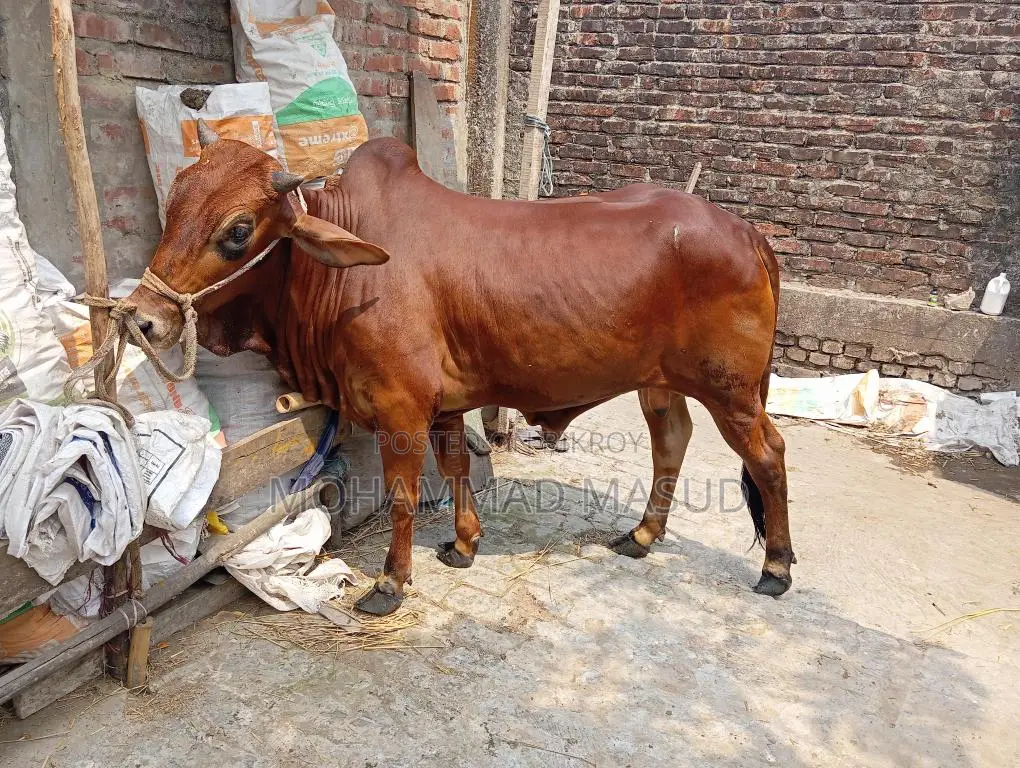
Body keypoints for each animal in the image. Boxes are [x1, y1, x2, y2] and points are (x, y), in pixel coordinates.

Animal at [127, 121, 793, 616]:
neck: (340, 277)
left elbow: (403, 495)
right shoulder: (444, 407)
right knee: (671, 442)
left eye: (238, 231)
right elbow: (454, 471)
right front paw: (464, 543)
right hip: (660, 384)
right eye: (173, 205)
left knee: (768, 456)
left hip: (731, 391)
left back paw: (776, 567)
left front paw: (391, 582)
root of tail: (745, 230)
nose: (141, 319)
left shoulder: (400, 408)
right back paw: (642, 536)